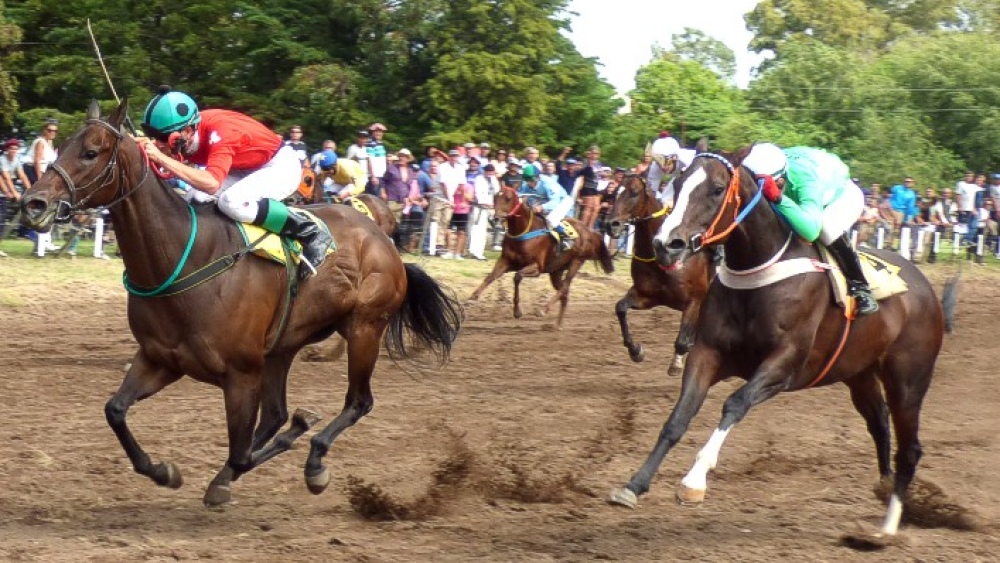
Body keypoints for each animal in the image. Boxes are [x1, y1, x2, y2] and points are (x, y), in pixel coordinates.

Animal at [20, 99, 460, 508]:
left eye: (91, 152)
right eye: (60, 146)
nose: (33, 203)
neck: (183, 256)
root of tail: (384, 238)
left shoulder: (241, 373)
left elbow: (242, 453)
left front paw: (281, 448)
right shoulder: (160, 359)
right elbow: (115, 411)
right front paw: (164, 471)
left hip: (365, 327)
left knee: (357, 402)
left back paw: (314, 461)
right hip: (283, 346)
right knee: (277, 413)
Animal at [470, 187, 616, 328]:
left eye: (508, 198)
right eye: (495, 197)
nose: (494, 219)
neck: (523, 231)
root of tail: (589, 231)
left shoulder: (536, 267)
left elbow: (517, 276)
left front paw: (517, 311)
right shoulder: (506, 261)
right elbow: (491, 276)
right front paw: (473, 297)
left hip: (577, 261)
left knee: (564, 287)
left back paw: (543, 310)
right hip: (556, 271)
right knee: (565, 294)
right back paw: (558, 325)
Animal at [604, 172, 716, 374]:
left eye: (634, 192)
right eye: (615, 192)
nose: (611, 224)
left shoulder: (695, 300)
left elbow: (682, 342)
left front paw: (677, 363)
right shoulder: (649, 296)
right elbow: (621, 308)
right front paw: (635, 350)